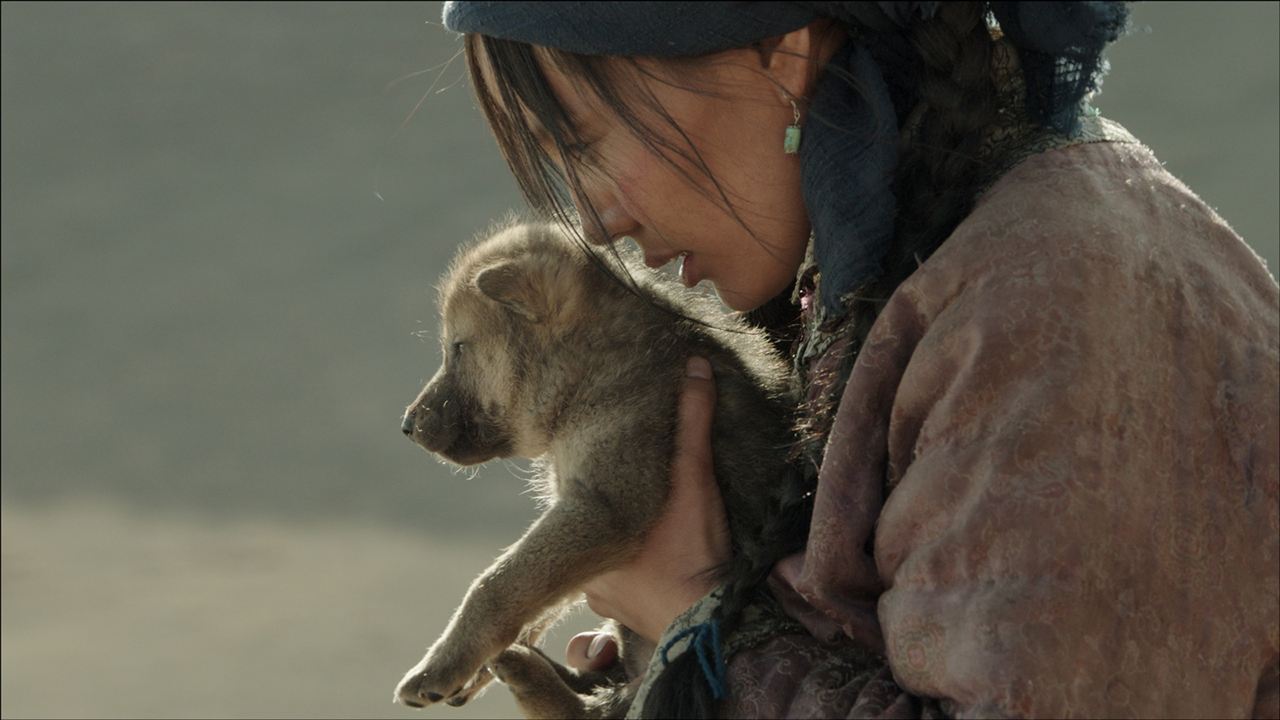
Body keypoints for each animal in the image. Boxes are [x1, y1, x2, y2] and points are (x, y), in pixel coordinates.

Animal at [391, 221, 788, 712]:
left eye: (459, 348)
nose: (407, 426)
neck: (588, 372)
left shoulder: (602, 507)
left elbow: (496, 584)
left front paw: (442, 667)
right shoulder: (577, 516)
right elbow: (534, 591)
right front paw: (474, 664)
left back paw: (526, 674)